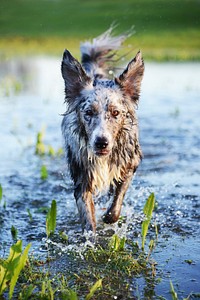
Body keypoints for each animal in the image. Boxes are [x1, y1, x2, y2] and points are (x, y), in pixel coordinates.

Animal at [61, 27, 144, 232]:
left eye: (115, 113)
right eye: (89, 112)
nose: (101, 142)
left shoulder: (131, 162)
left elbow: (119, 196)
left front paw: (109, 217)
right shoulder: (82, 177)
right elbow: (88, 218)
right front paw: (91, 236)